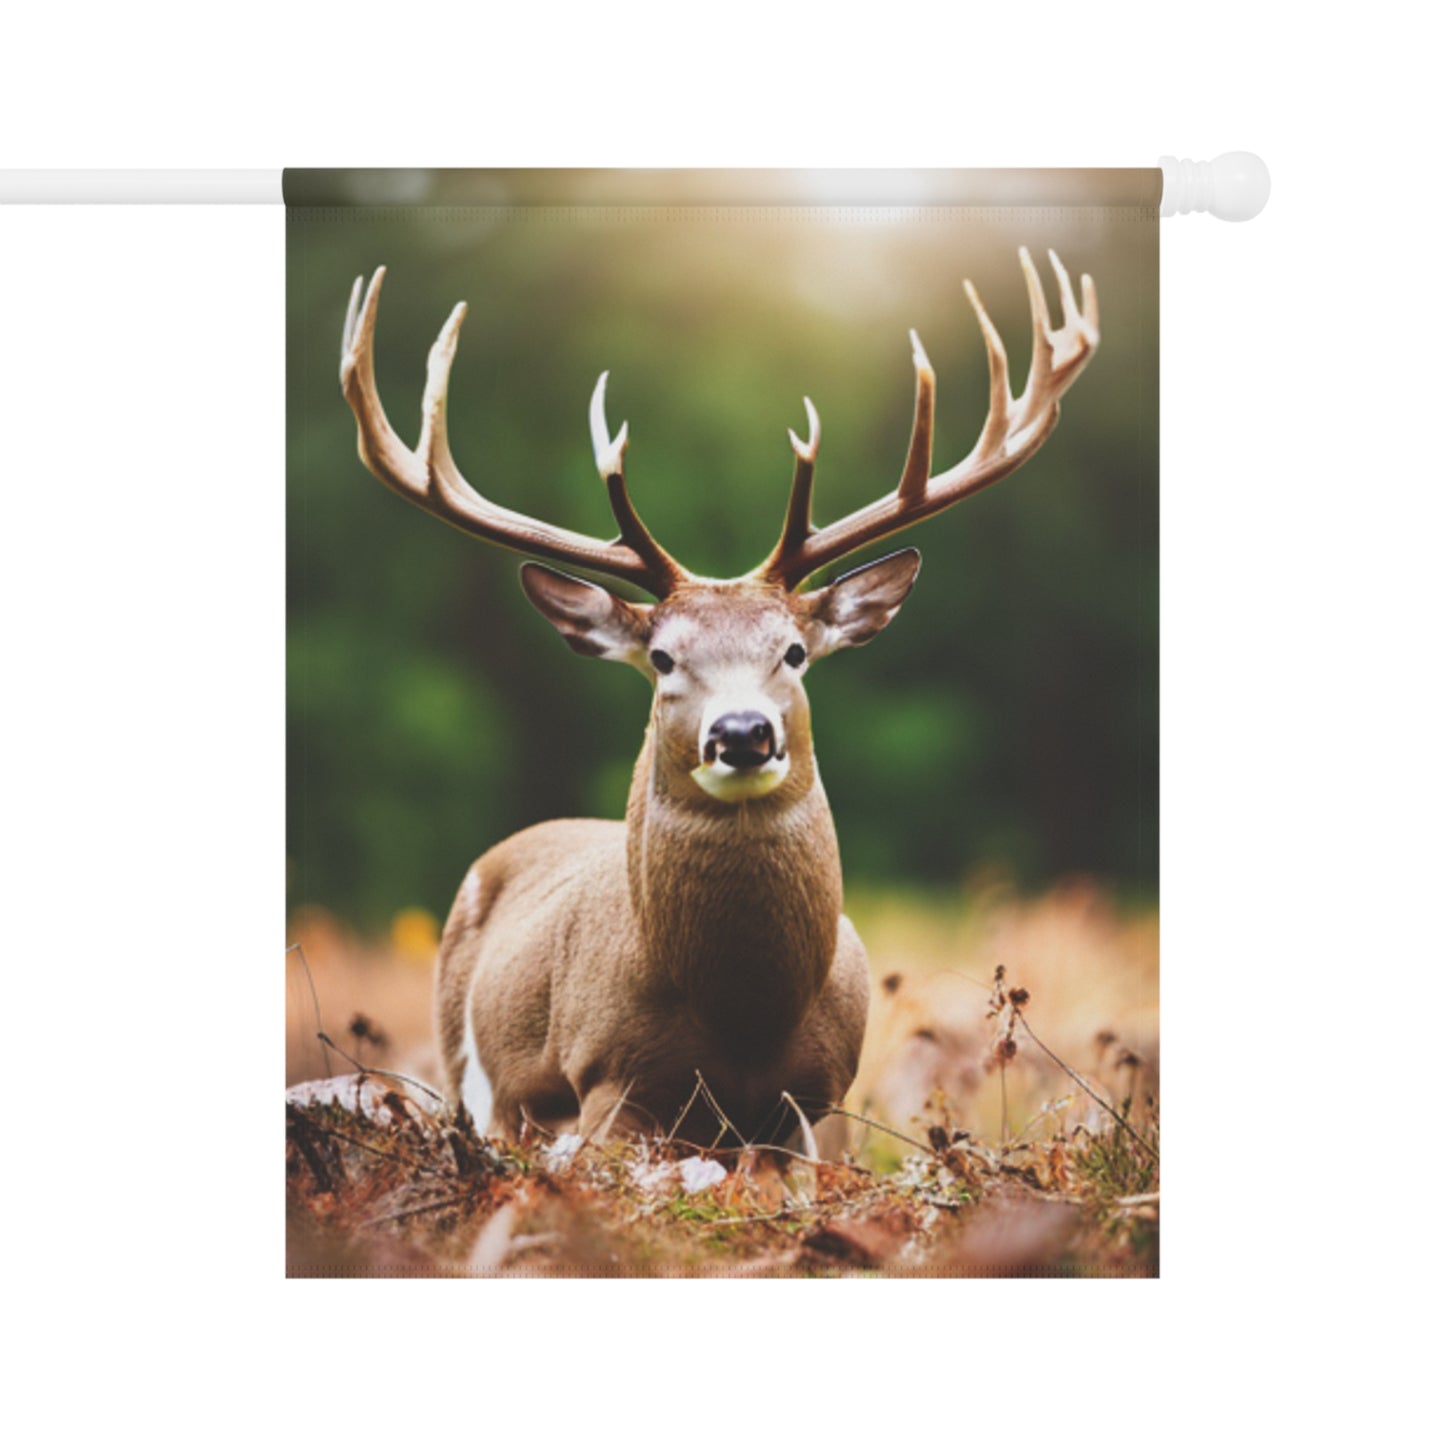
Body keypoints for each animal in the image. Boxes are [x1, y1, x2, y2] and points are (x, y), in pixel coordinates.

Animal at [338, 248, 1098, 1150]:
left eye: (794, 651)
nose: (742, 733)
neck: (744, 1016)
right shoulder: (606, 1080)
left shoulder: (821, 1098)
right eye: (663, 657)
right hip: (471, 1074)